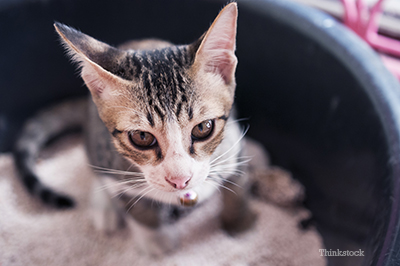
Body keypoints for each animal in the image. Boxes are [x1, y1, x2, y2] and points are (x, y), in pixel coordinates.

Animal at [14, 2, 256, 255]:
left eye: (203, 127)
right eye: (141, 136)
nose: (180, 180)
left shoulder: (235, 143)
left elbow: (238, 188)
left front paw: (240, 224)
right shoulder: (117, 170)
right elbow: (135, 205)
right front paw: (157, 240)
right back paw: (104, 207)